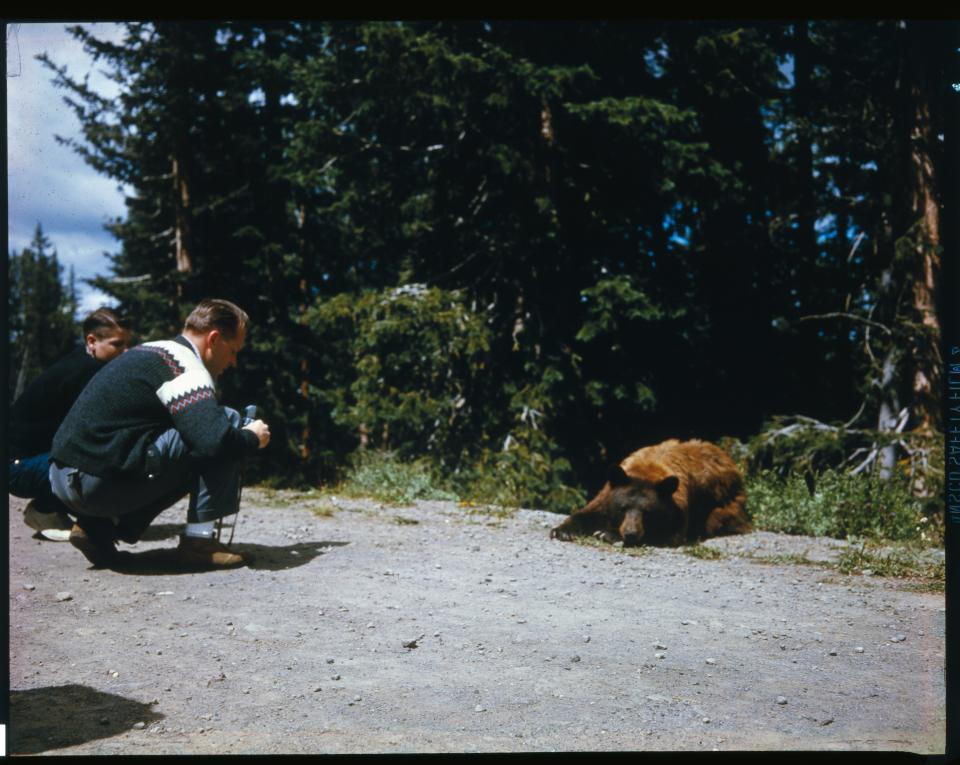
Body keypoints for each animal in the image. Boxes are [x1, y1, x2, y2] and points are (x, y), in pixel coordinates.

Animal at [548, 438, 752, 548]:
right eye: (623, 508)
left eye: (647, 512)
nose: (630, 533)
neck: (647, 471)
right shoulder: (607, 493)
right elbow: (589, 512)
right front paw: (562, 531)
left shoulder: (678, 507)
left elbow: (669, 533)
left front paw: (607, 534)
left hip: (725, 504)